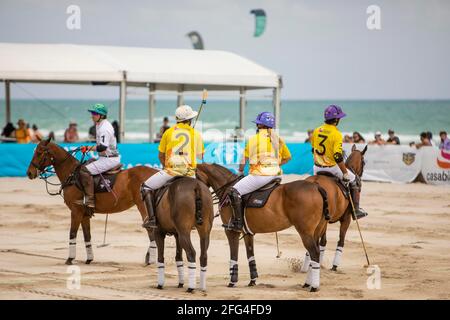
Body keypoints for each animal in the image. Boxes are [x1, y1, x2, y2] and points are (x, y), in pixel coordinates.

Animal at [26, 139, 158, 266]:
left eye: (39, 152)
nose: (29, 173)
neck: (71, 174)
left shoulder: (76, 210)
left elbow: (72, 233)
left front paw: (70, 258)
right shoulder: (84, 214)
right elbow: (87, 235)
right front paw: (89, 259)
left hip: (143, 206)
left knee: (150, 228)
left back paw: (151, 259)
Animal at [197, 164, 330, 292]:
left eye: (196, 176)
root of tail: (317, 187)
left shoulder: (231, 231)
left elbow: (233, 256)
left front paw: (232, 282)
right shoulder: (247, 233)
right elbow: (250, 254)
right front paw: (252, 281)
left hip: (305, 232)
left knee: (314, 253)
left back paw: (313, 287)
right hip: (317, 231)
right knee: (315, 254)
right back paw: (308, 283)